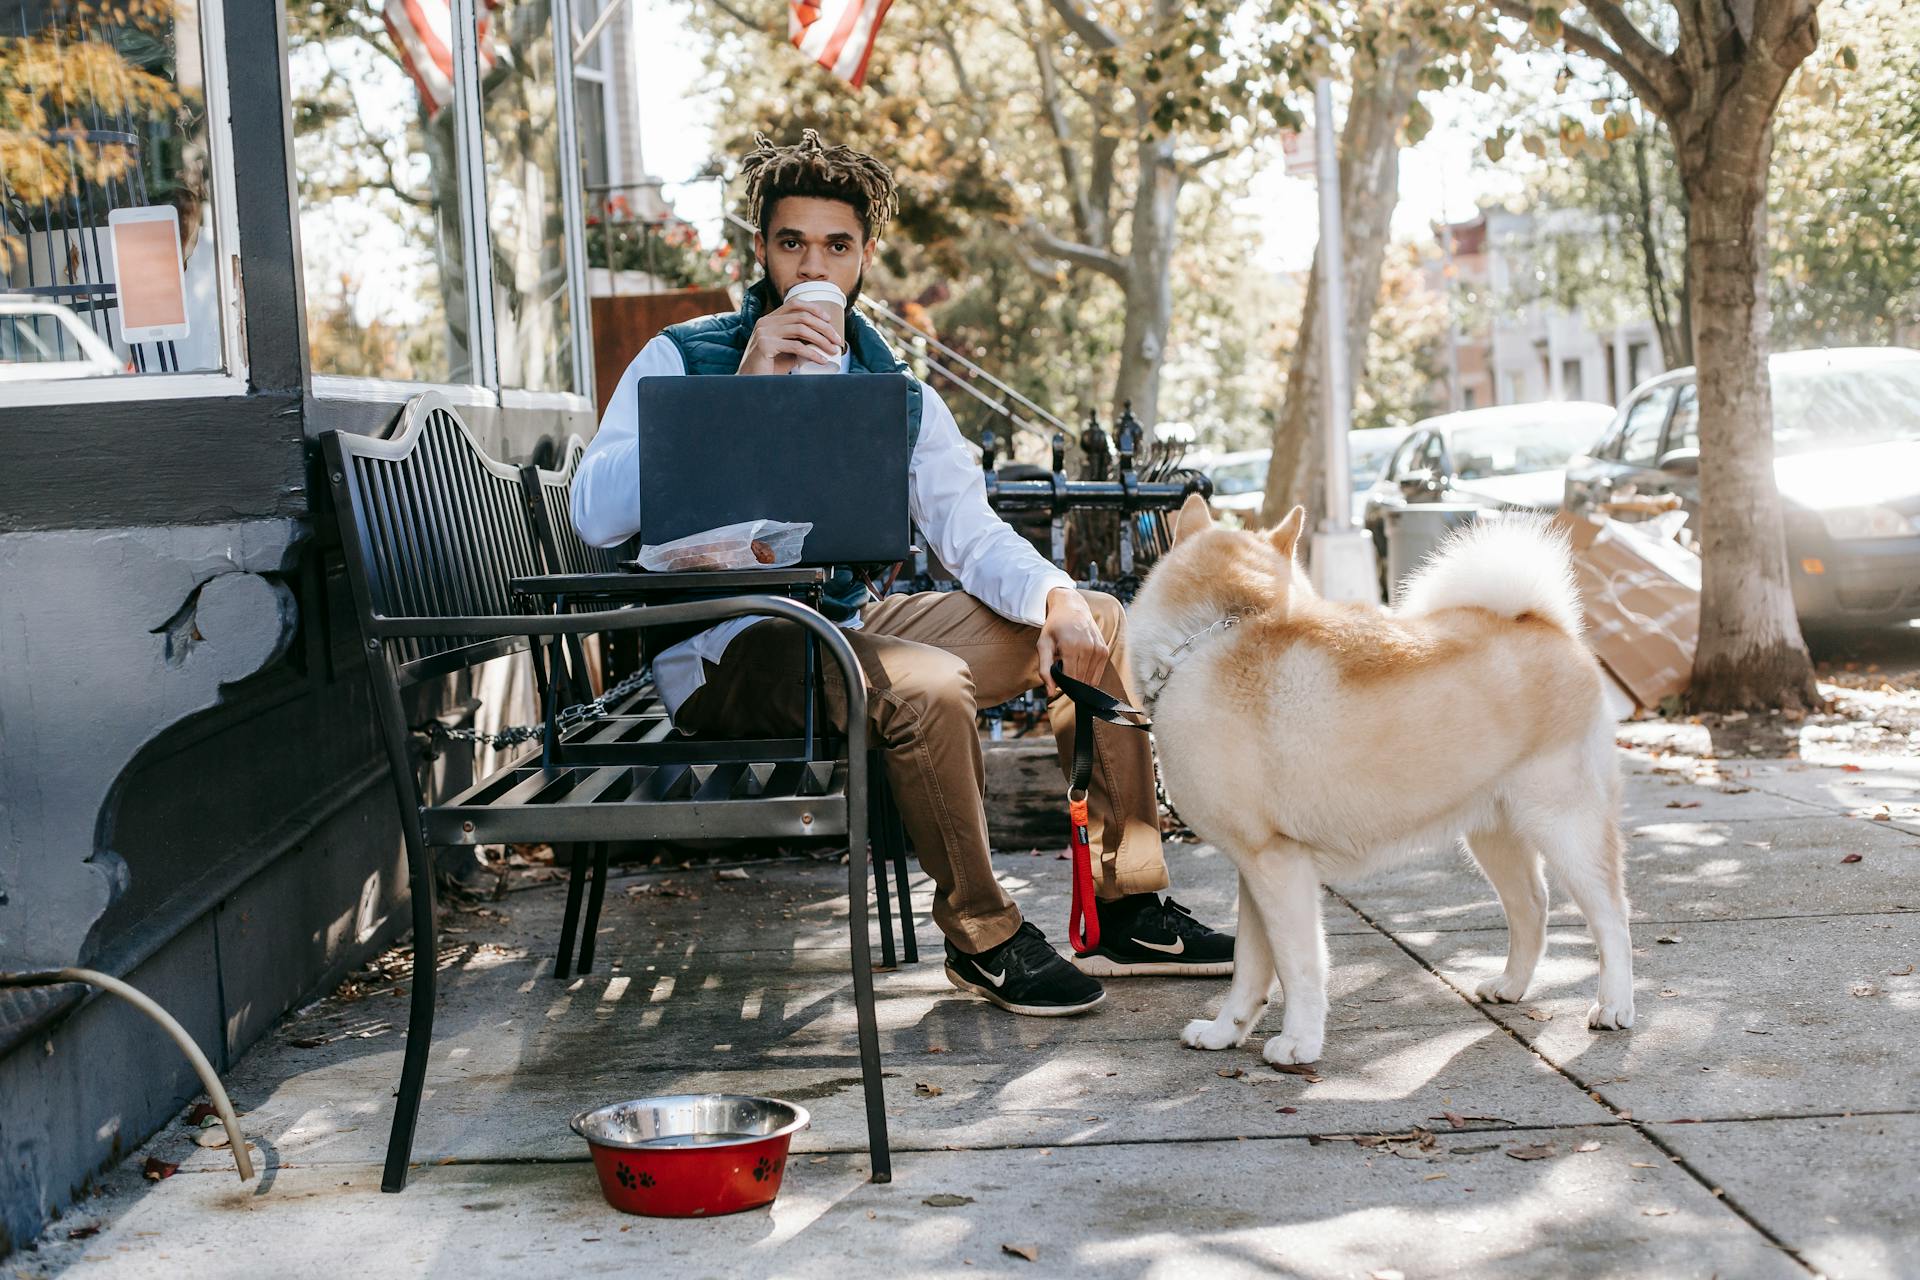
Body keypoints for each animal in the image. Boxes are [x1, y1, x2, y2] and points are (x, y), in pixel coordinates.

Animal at [1128, 495, 1628, 1066]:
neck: (1213, 636)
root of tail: (1546, 624)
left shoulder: (1277, 866)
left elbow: (1299, 965)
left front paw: (1299, 1042)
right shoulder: (1255, 872)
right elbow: (1251, 969)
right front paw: (1224, 1032)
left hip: (1565, 826)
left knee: (1612, 917)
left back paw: (1615, 1006)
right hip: (1493, 834)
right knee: (1532, 907)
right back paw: (1511, 986)